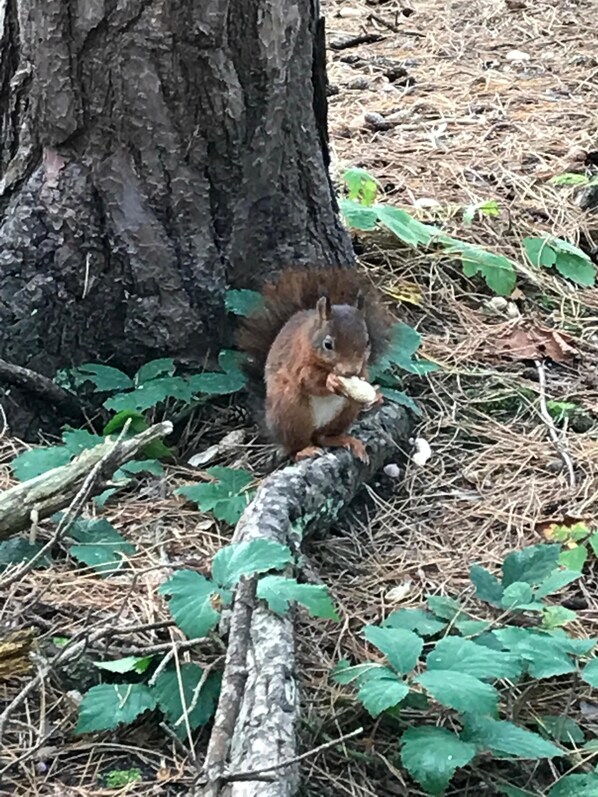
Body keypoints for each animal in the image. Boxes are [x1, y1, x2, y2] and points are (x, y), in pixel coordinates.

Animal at [237, 270, 392, 464]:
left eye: (367, 342)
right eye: (328, 344)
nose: (351, 371)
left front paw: (363, 380)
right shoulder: (298, 361)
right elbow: (308, 380)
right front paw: (331, 381)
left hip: (345, 412)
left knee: (323, 437)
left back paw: (348, 441)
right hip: (291, 412)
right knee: (294, 448)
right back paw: (305, 451)